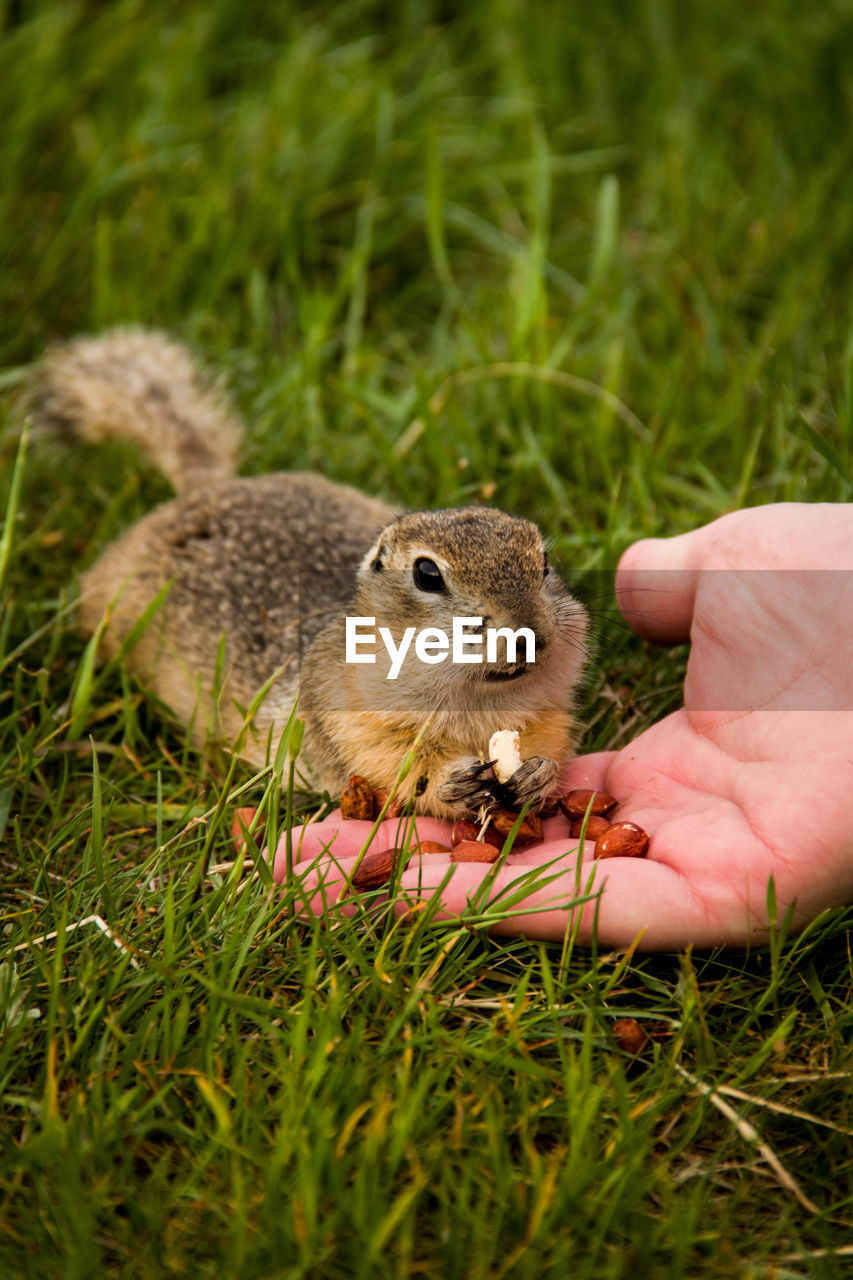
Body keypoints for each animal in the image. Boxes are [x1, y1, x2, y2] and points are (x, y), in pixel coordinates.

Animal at [29, 330, 589, 819]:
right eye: (427, 574)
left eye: (543, 562)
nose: (528, 634)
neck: (481, 706)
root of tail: (208, 486)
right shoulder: (348, 717)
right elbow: (396, 770)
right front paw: (453, 782)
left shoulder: (548, 710)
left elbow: (550, 741)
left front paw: (538, 773)